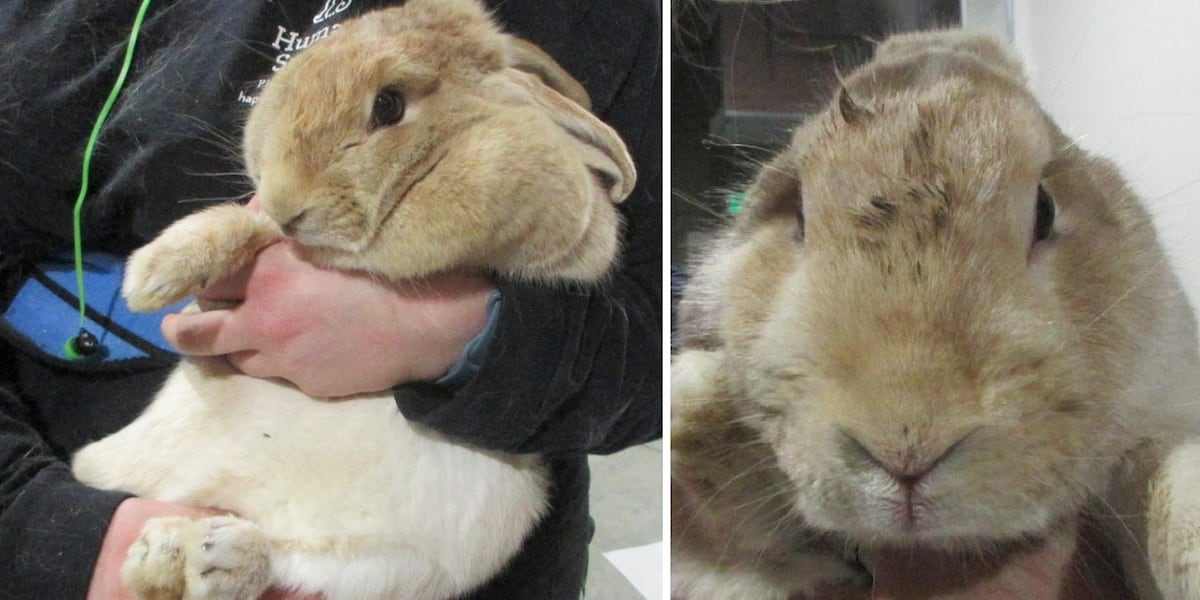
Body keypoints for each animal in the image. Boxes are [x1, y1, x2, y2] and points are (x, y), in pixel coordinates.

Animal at [70, 1, 635, 599]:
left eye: (388, 104)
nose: (285, 198)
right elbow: (248, 224)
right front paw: (152, 277)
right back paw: (165, 553)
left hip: (382, 569)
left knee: (275, 563)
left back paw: (204, 555)